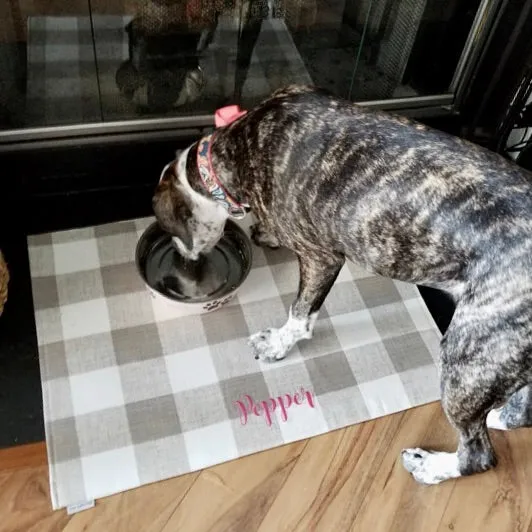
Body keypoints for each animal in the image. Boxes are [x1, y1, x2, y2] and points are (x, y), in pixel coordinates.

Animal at [152, 84, 532, 486]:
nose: (184, 260)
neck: (242, 142)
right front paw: (266, 232)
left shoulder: (321, 258)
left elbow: (300, 313)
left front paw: (277, 343)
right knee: (520, 412)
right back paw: (497, 415)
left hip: (469, 354)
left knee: (478, 454)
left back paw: (431, 467)